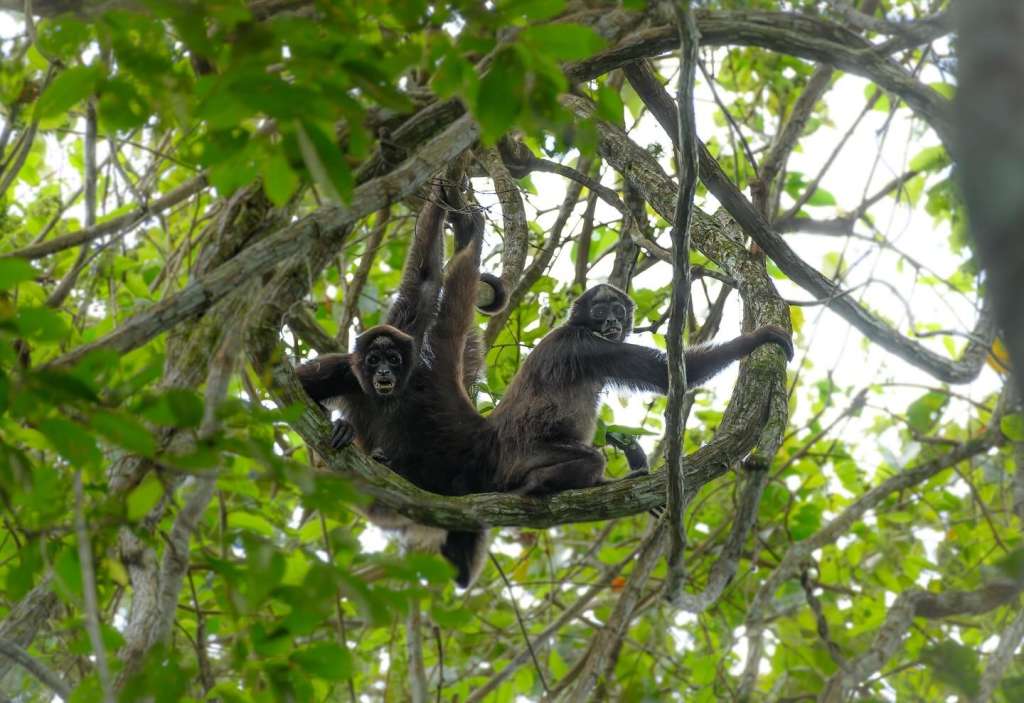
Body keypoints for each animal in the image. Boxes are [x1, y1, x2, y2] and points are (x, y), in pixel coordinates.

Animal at [488, 283, 794, 496]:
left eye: (618, 310)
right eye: (600, 312)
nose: (612, 322)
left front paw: (627, 444)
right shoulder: (588, 345)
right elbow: (666, 375)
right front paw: (758, 338)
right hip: (530, 453)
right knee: (592, 459)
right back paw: (537, 483)